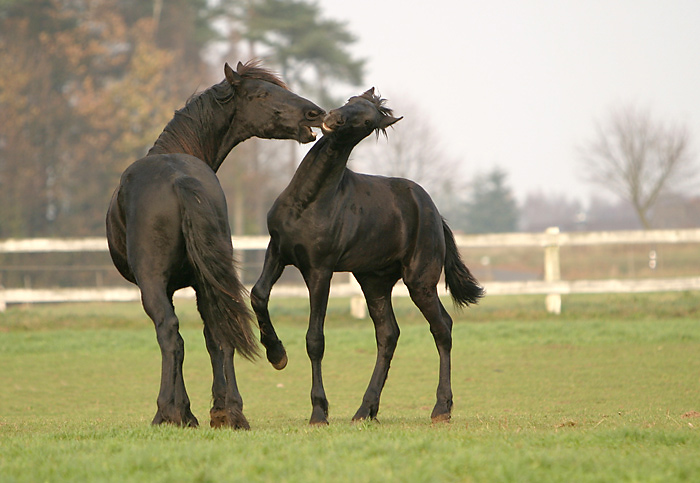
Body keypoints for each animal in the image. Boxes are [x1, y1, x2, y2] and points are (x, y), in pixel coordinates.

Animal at [106, 58, 326, 430]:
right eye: (263, 93)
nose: (315, 113)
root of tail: (179, 179)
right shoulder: (201, 281)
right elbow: (214, 339)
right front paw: (218, 409)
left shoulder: (168, 286)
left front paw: (182, 411)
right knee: (222, 332)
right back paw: (231, 412)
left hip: (153, 283)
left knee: (170, 333)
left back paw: (168, 412)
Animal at [249, 89, 484, 426]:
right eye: (350, 100)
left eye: (367, 122)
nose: (333, 119)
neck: (308, 201)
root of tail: (435, 213)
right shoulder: (277, 250)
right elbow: (258, 295)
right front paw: (276, 355)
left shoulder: (319, 270)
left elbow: (315, 339)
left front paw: (319, 411)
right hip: (374, 282)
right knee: (388, 334)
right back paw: (365, 410)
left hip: (420, 281)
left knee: (442, 327)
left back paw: (441, 408)